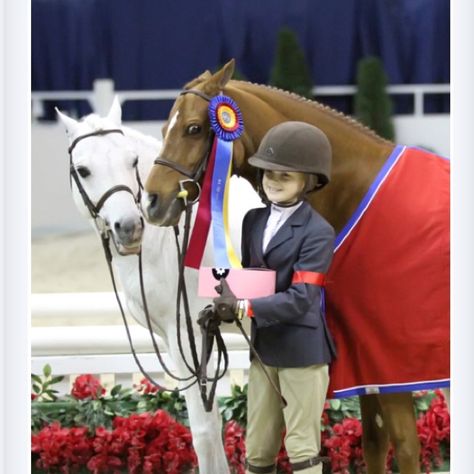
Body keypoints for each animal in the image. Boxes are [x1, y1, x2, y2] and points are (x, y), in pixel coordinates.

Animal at [58, 99, 262, 474]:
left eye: (131, 160)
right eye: (83, 170)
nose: (129, 227)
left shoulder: (189, 337)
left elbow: (204, 431)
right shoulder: (181, 340)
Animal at [143, 61, 448, 472]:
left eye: (193, 128)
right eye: (163, 129)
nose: (152, 202)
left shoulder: (392, 364)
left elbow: (404, 446)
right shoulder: (362, 356)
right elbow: (374, 440)